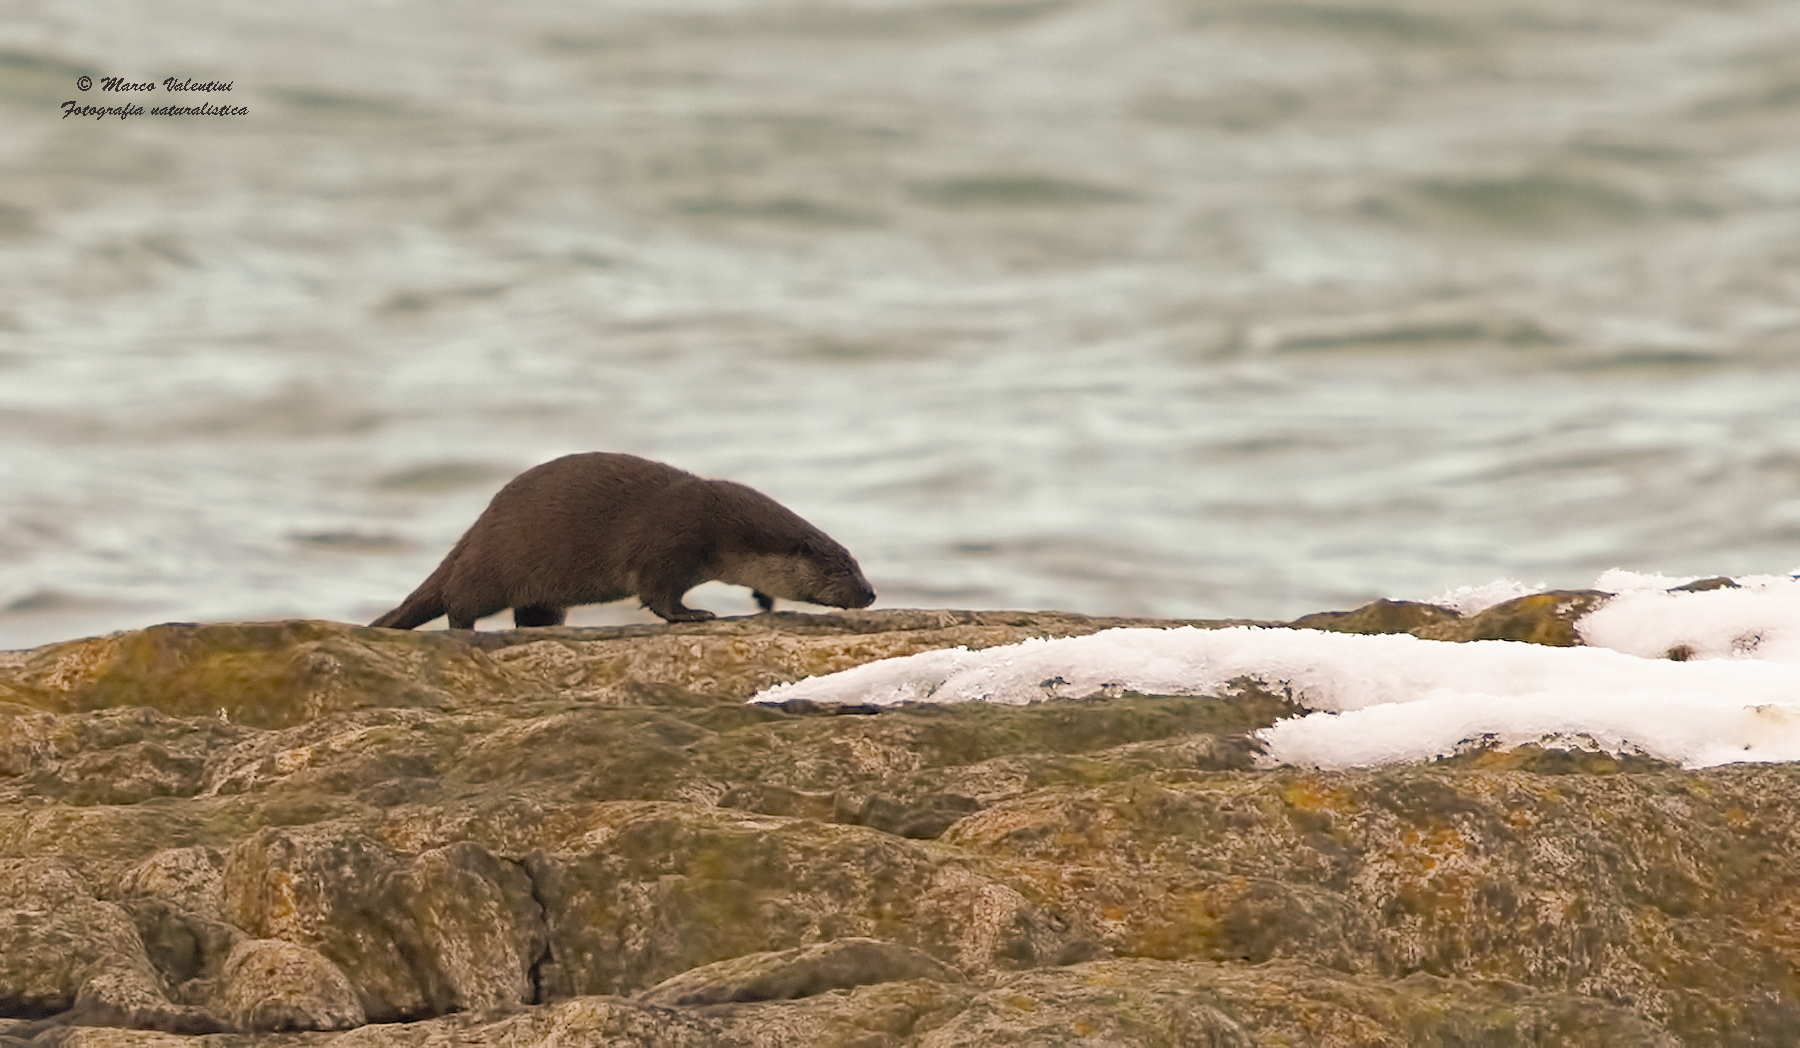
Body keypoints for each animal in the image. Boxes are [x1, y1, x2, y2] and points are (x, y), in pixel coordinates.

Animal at [369, 453, 876, 630]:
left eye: (857, 564)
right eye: (843, 569)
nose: (870, 593)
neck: (724, 526)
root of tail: (474, 530)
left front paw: (763, 600)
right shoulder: (670, 545)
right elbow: (657, 595)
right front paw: (693, 614)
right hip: (493, 566)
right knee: (459, 602)